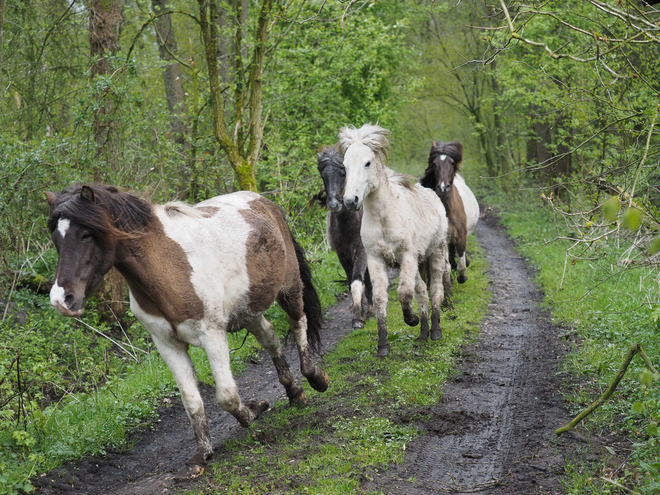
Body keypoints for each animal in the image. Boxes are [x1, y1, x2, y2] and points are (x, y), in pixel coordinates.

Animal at [45, 185, 328, 476]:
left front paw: (252, 411)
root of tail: (261, 200)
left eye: (86, 235)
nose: (61, 300)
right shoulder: (167, 344)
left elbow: (226, 396)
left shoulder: (212, 335)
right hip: (248, 310)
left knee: (298, 323)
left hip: (289, 288)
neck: (169, 268)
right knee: (270, 337)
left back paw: (315, 379)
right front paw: (202, 456)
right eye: (55, 238)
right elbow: (191, 401)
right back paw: (294, 392)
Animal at [314, 146, 372, 330]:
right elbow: (350, 281)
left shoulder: (361, 252)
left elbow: (357, 281)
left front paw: (359, 317)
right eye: (322, 175)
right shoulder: (343, 256)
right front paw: (360, 313)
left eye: (343, 173)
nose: (334, 204)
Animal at [338, 124, 452, 356]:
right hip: (417, 263)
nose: (350, 201)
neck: (385, 218)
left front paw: (411, 319)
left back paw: (435, 331)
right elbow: (381, 298)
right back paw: (422, 335)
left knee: (435, 290)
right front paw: (383, 345)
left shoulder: (407, 255)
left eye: (367, 163)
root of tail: (434, 196)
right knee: (423, 291)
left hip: (436, 253)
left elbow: (404, 293)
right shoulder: (375, 259)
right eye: (344, 167)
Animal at [422, 141, 480, 284]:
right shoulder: (442, 240)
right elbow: (445, 265)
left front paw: (462, 276)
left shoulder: (461, 237)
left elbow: (461, 263)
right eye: (434, 164)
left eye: (452, 163)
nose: (443, 188)